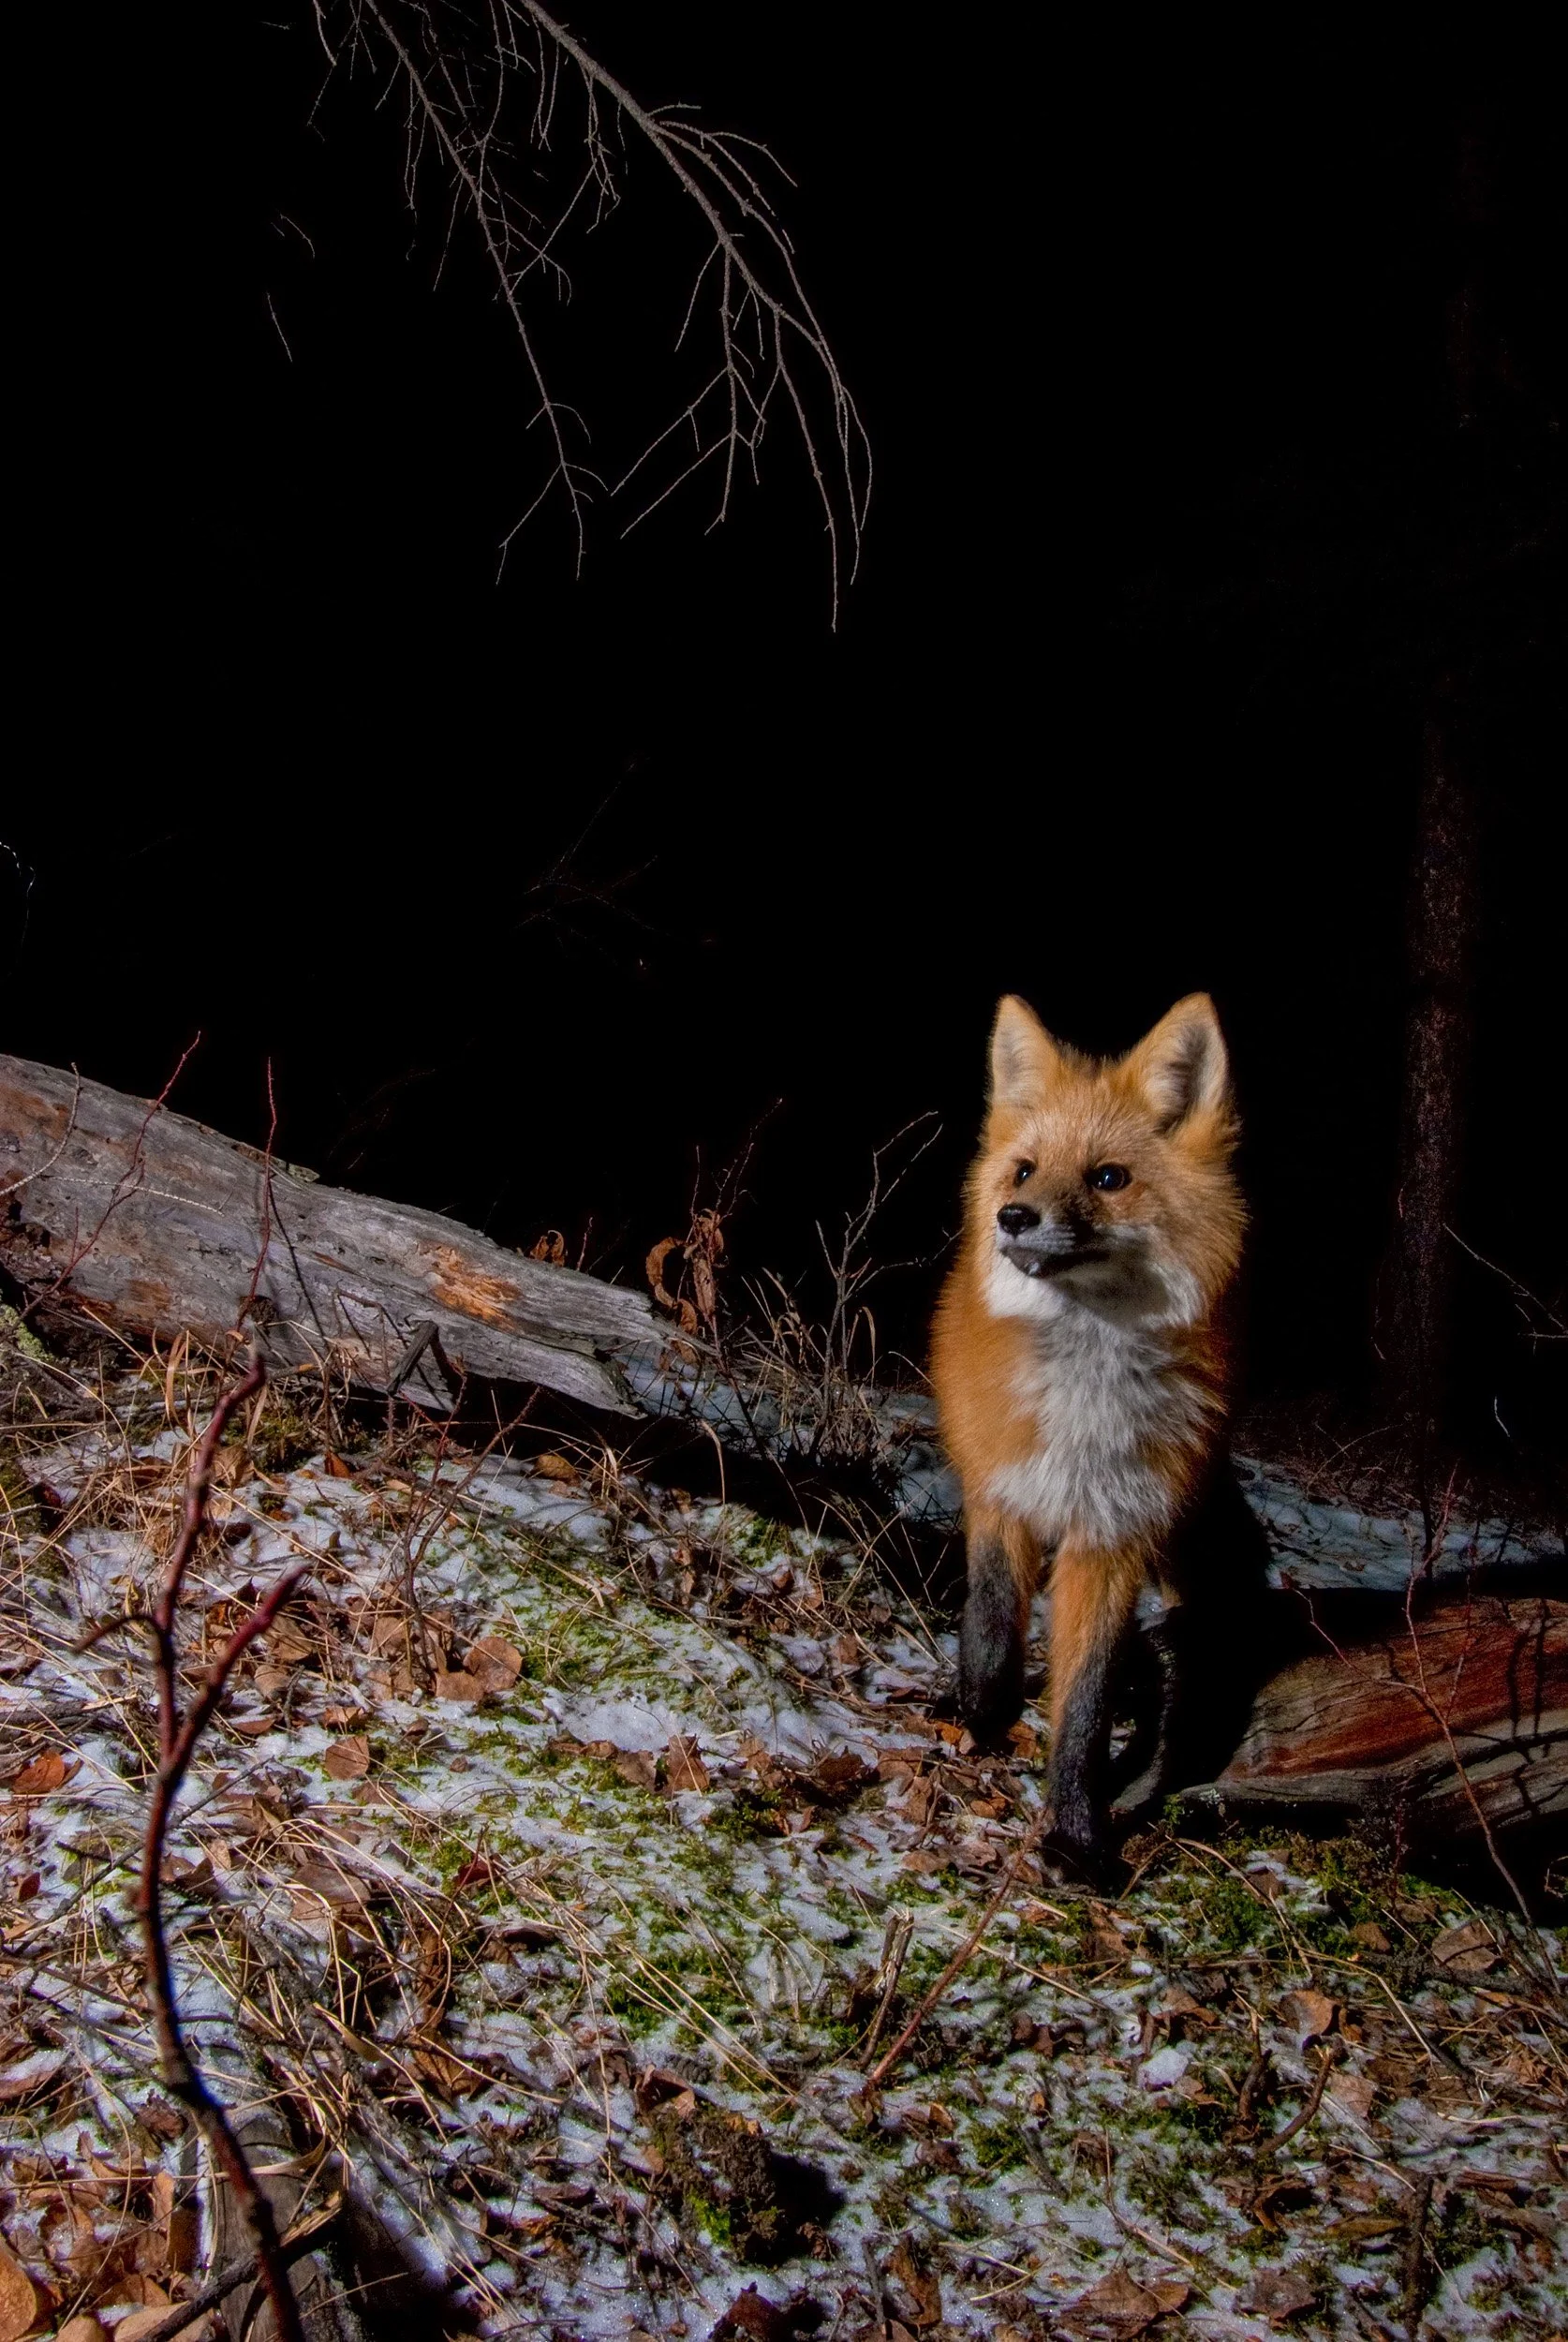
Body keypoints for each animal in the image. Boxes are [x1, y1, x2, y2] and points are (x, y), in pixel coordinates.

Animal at [931, 991, 1270, 1873]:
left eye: (1108, 1178)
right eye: (1023, 1170)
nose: (1014, 1216)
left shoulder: (1113, 1534)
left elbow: (1085, 1702)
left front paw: (1077, 1834)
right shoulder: (1002, 1489)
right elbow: (991, 1628)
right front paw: (980, 1719)